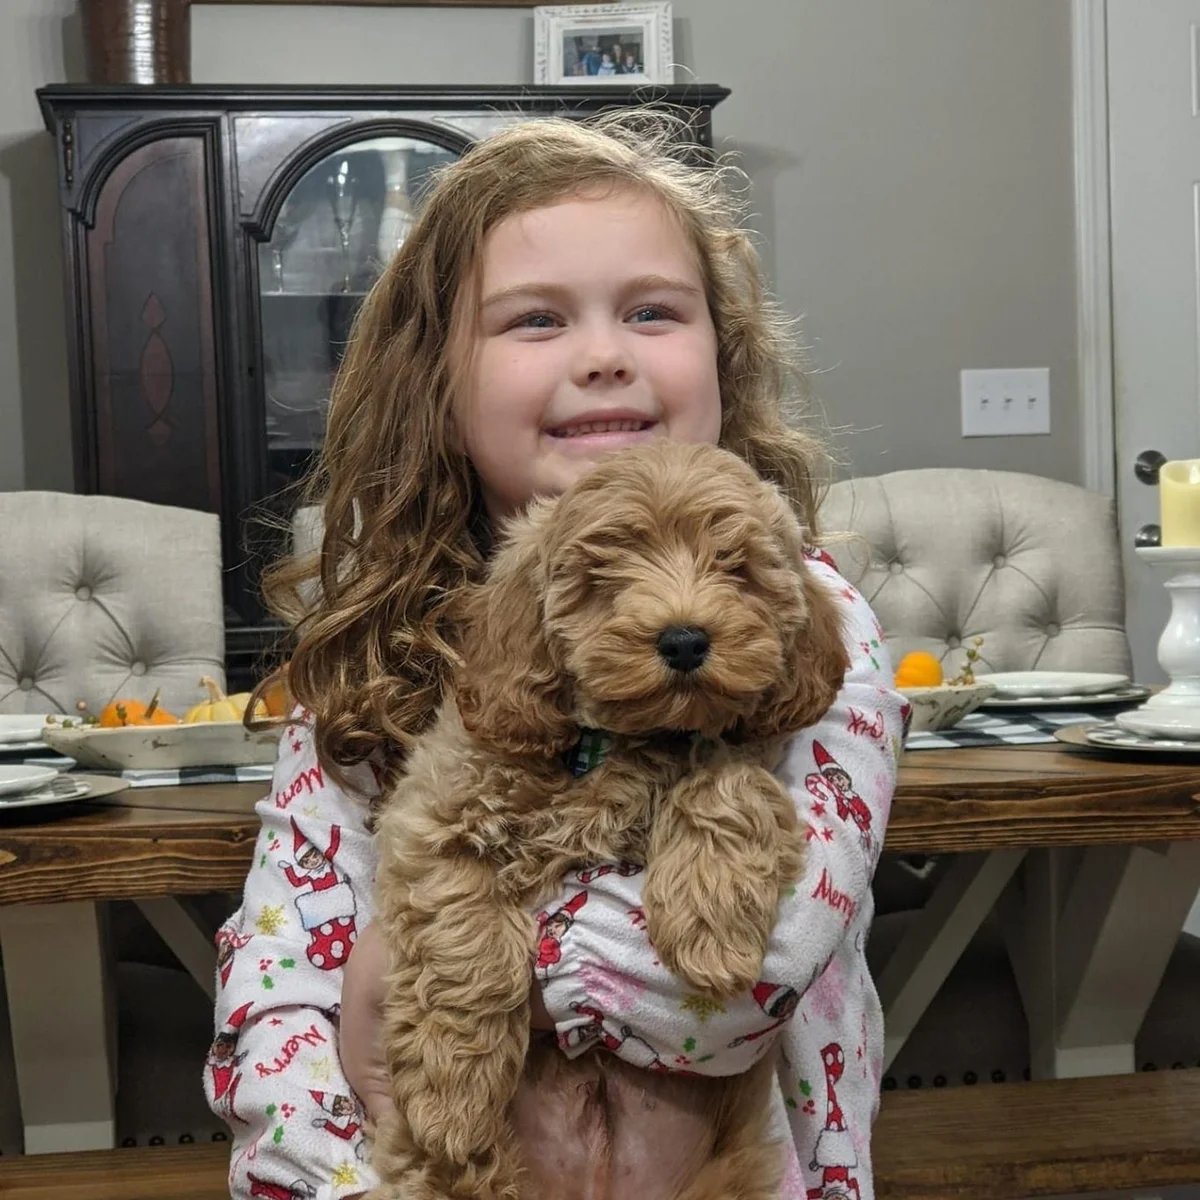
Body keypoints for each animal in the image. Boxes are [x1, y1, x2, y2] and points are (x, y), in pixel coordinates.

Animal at [369, 441, 849, 1200]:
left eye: (735, 568)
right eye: (604, 578)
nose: (684, 640)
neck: (614, 743)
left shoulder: (750, 755)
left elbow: (726, 783)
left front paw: (710, 928)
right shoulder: (434, 816)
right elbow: (463, 943)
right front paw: (454, 1097)